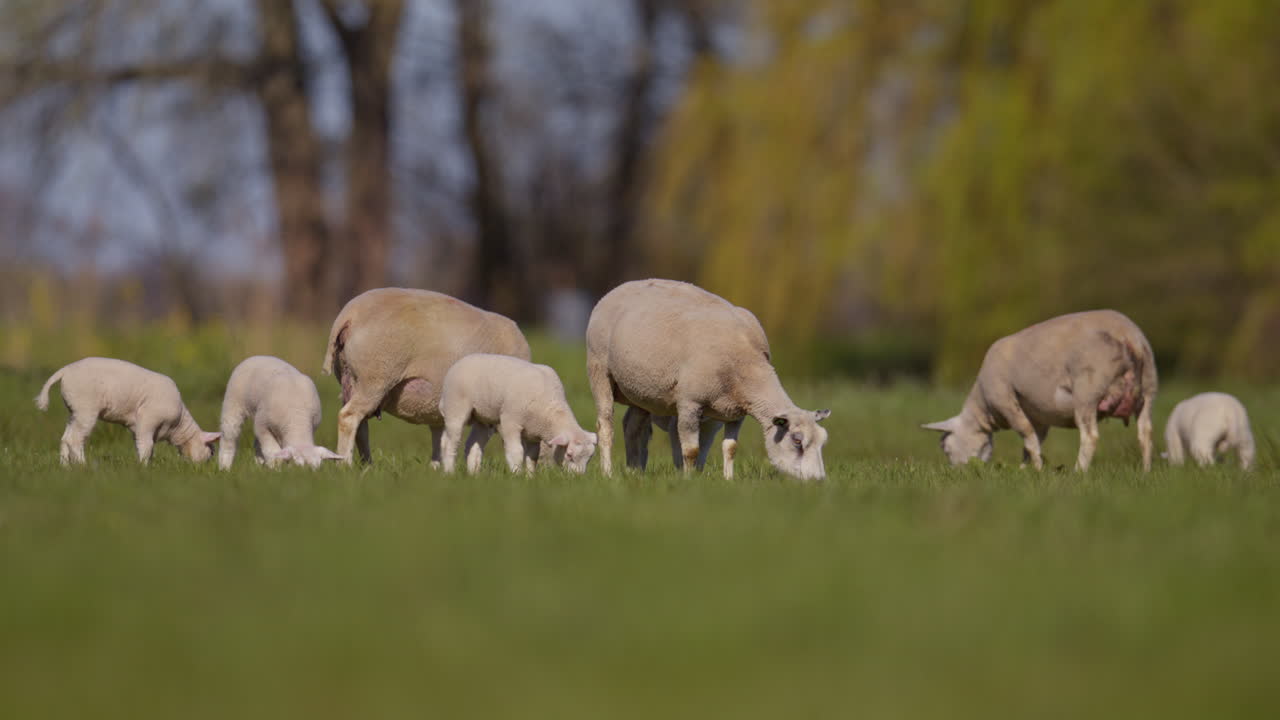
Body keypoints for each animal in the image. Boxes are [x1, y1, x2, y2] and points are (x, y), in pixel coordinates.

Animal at [34, 357, 221, 465]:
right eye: (211, 451)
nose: (203, 469)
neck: (178, 426)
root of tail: (65, 370)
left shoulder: (136, 427)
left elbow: (143, 446)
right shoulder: (148, 418)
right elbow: (147, 446)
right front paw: (144, 467)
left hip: (75, 411)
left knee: (65, 438)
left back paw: (65, 467)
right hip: (86, 408)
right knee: (75, 439)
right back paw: (82, 465)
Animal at [321, 287, 531, 465]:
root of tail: (349, 315)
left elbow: (441, 441)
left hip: (351, 379)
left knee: (361, 427)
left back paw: (367, 466)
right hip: (376, 377)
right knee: (349, 418)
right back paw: (346, 465)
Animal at [439, 353, 597, 474]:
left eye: (590, 457)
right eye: (569, 455)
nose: (577, 478)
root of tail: (462, 360)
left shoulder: (534, 432)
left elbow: (532, 457)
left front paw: (529, 477)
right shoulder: (510, 421)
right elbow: (516, 452)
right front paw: (516, 475)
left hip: (482, 418)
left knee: (472, 446)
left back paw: (474, 474)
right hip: (455, 407)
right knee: (450, 442)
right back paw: (449, 472)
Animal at [586, 279, 831, 481]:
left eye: (822, 441)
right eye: (797, 441)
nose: (817, 481)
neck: (747, 366)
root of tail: (622, 286)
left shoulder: (736, 412)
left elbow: (731, 447)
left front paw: (728, 480)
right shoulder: (689, 403)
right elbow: (690, 450)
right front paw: (688, 480)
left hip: (640, 392)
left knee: (633, 427)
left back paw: (634, 471)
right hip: (599, 369)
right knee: (605, 425)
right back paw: (607, 473)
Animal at [922, 309, 1158, 471]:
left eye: (946, 449)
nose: (959, 474)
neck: (985, 410)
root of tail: (1128, 337)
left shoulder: (1005, 399)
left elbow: (1027, 435)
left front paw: (1036, 469)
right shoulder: (1039, 416)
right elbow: (1032, 442)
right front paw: (1026, 470)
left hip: (1088, 392)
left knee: (1090, 436)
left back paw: (1079, 472)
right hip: (1148, 387)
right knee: (1145, 432)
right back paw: (1145, 472)